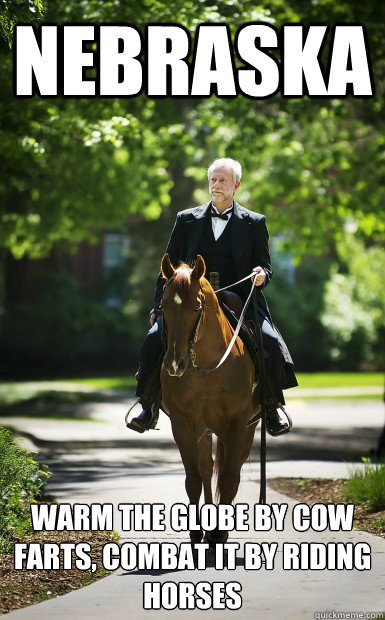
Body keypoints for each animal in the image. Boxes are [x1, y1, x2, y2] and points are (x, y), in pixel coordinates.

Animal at [159, 254, 260, 544]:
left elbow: (228, 479)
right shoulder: (183, 426)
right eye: (163, 306)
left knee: (229, 472)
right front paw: (197, 532)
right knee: (206, 468)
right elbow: (193, 478)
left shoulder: (238, 427)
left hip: (246, 430)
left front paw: (219, 534)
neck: (206, 366)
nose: (174, 364)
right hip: (204, 432)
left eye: (196, 308)